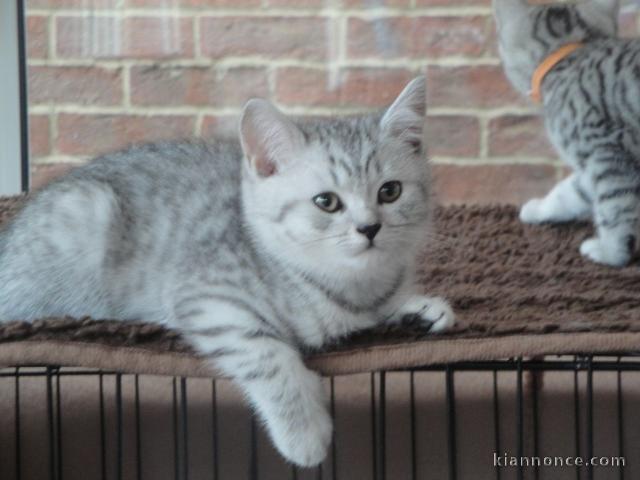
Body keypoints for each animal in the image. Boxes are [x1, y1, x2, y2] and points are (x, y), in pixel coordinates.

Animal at [0, 78, 456, 464]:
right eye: (326, 202)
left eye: (390, 191)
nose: (369, 227)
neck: (350, 287)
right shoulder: (205, 296)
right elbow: (266, 354)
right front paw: (305, 433)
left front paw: (418, 308)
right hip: (83, 220)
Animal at [492, 0, 636, 266]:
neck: (568, 60)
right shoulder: (590, 167)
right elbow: (568, 192)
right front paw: (539, 209)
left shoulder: (609, 156)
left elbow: (616, 207)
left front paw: (612, 252)